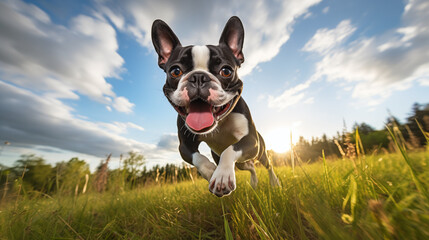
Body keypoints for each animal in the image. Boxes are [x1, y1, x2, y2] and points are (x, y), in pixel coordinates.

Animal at [152, 16, 280, 197]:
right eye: (175, 71)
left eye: (226, 71)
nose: (199, 77)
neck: (220, 122)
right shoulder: (184, 146)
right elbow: (197, 158)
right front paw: (212, 172)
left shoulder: (251, 140)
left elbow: (230, 149)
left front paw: (222, 176)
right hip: (238, 161)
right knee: (250, 166)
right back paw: (253, 183)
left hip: (260, 150)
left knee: (267, 165)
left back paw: (274, 183)